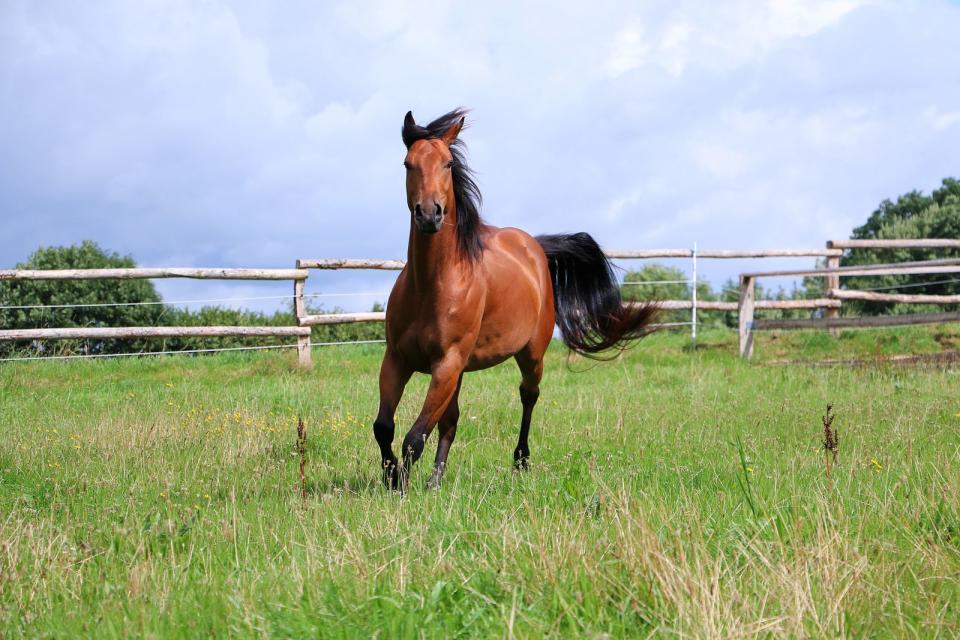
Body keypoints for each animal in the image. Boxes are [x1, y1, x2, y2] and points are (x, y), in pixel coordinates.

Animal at [372, 110, 656, 490]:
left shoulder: (446, 364)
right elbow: (384, 427)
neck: (431, 285)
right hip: (458, 371)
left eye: (448, 164)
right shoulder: (398, 360)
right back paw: (436, 480)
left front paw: (400, 487)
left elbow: (414, 438)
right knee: (450, 421)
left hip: (530, 354)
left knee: (528, 395)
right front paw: (392, 478)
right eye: (408, 164)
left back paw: (521, 461)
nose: (430, 214)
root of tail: (534, 247)